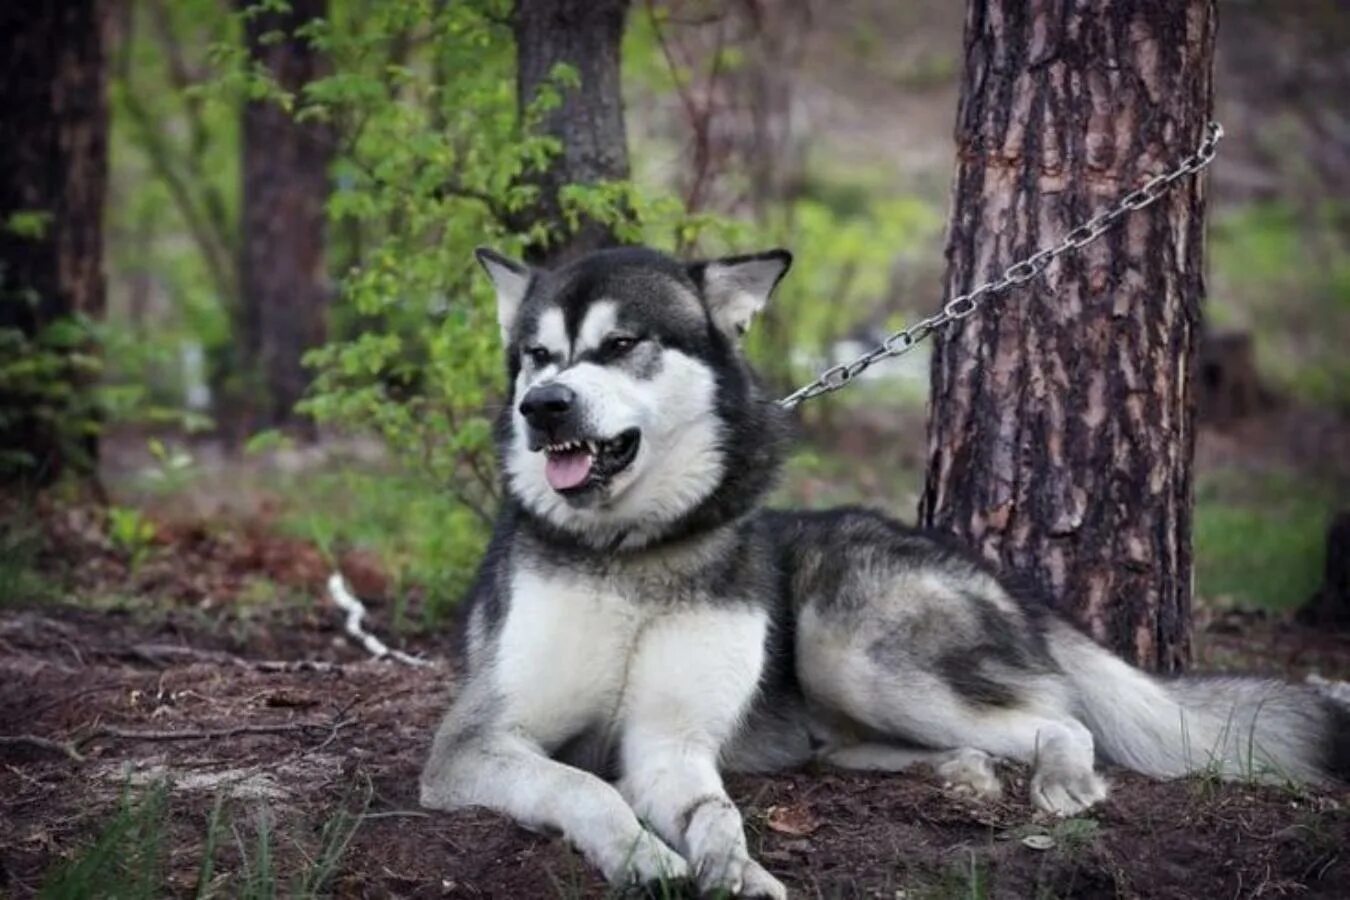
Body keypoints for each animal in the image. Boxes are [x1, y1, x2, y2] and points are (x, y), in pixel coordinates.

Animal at [418, 246, 1339, 900]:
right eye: (538, 355)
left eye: (619, 345)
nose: (543, 409)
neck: (636, 552)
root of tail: (990, 573)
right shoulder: (476, 743)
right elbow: (583, 787)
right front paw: (648, 860)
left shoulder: (670, 743)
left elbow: (716, 814)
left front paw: (735, 870)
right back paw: (959, 770)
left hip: (848, 646)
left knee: (1062, 720)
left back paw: (1061, 780)